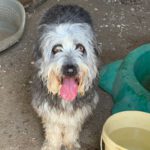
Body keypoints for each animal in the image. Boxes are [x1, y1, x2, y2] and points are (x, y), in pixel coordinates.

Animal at [32, 4, 101, 150]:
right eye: (56, 49)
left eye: (80, 48)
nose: (70, 69)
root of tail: (66, 5)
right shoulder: (47, 107)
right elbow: (53, 129)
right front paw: (53, 145)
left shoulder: (79, 110)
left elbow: (72, 127)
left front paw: (70, 142)